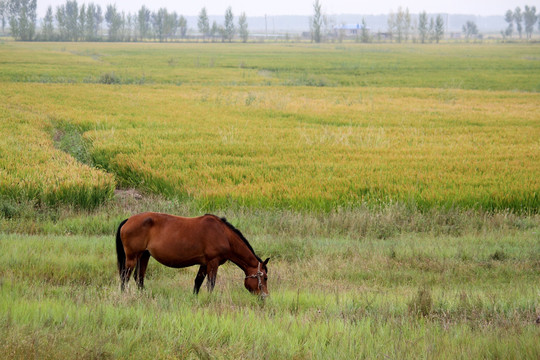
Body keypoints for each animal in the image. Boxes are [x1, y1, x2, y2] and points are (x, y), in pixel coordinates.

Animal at [114, 212, 270, 296]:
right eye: (265, 278)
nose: (265, 297)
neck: (223, 234)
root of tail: (128, 220)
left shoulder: (204, 264)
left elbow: (198, 282)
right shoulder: (213, 262)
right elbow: (210, 284)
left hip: (144, 255)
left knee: (138, 277)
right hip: (132, 257)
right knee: (125, 277)